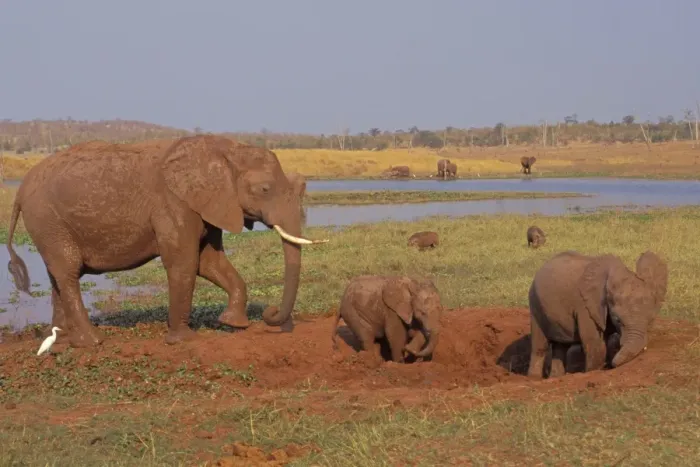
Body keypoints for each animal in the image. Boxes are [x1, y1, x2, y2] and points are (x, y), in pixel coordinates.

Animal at [5, 135, 329, 348]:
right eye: (264, 189)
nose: (271, 313)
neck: (224, 148)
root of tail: (20, 190)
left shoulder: (209, 204)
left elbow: (209, 262)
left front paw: (232, 324)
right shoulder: (174, 203)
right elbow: (184, 261)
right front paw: (183, 340)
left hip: (48, 225)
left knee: (57, 275)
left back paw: (61, 339)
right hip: (47, 219)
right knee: (69, 273)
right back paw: (93, 341)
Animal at [527, 250, 668, 379]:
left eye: (651, 320)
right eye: (617, 320)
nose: (611, 365)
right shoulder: (585, 306)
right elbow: (595, 344)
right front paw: (592, 372)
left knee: (560, 347)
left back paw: (555, 377)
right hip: (535, 303)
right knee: (540, 346)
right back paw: (533, 378)